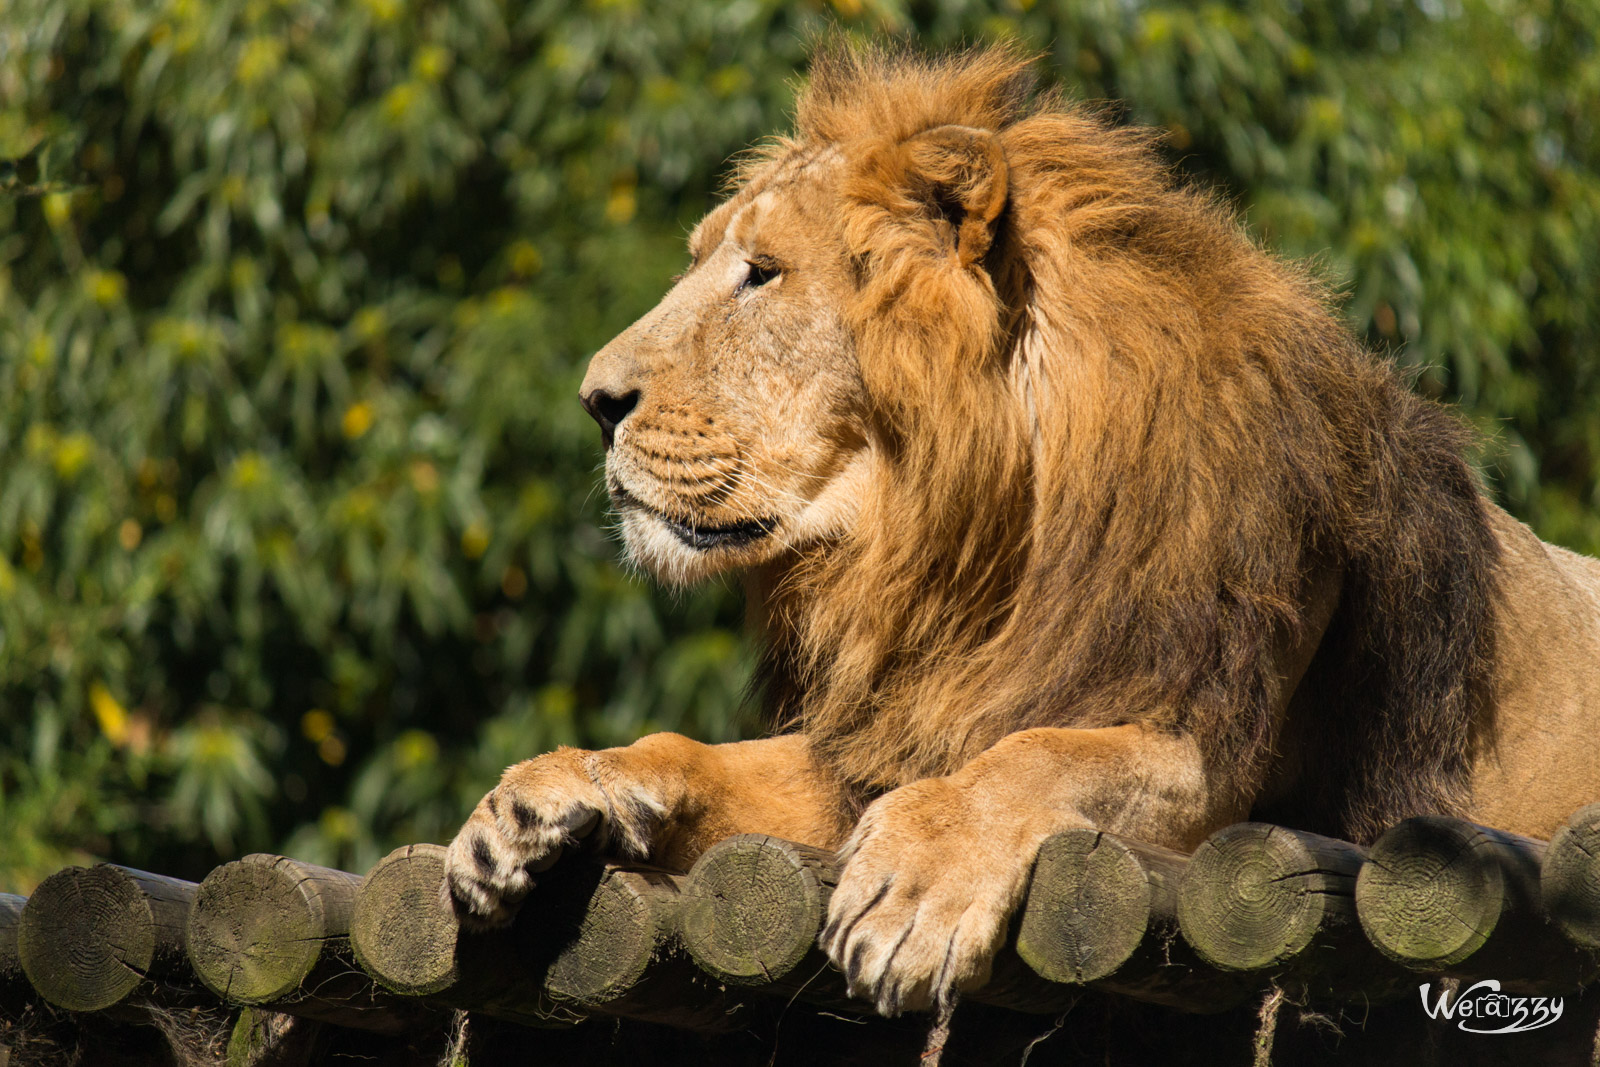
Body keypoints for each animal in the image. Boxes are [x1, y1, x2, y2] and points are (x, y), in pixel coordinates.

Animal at [444, 43, 1600, 1017]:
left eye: (762, 272)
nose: (594, 400)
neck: (964, 553)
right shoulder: (877, 739)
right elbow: (701, 755)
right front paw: (544, 794)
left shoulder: (1209, 752)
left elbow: (1036, 751)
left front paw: (913, 885)